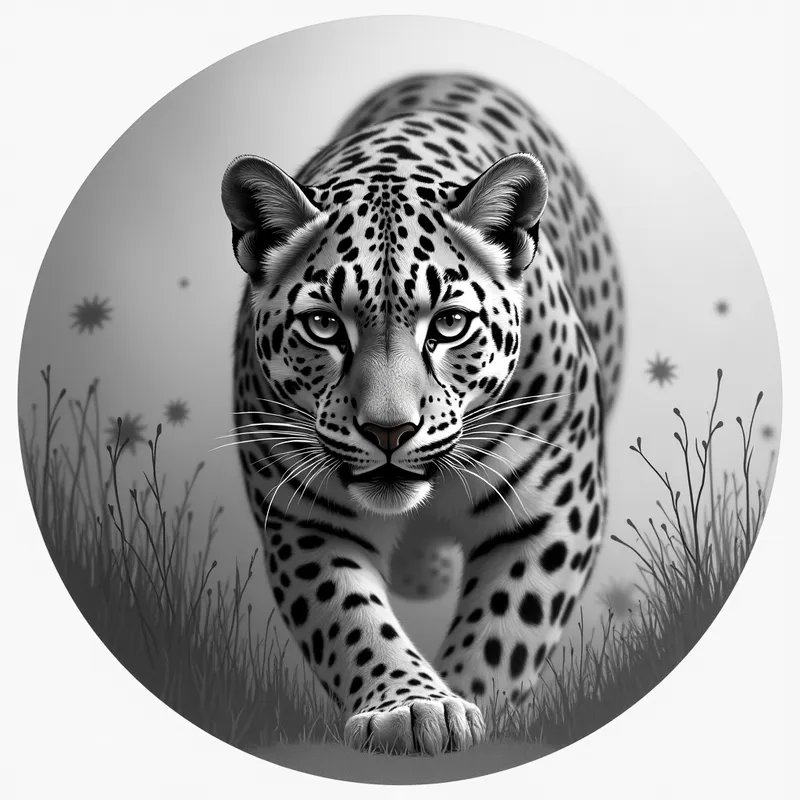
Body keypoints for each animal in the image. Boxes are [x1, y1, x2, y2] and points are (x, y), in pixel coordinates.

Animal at [220, 73, 625, 755]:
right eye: (324, 325)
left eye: (451, 323)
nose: (389, 430)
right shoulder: (308, 520)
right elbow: (350, 622)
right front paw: (412, 708)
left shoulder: (556, 513)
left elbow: (505, 634)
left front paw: (470, 710)